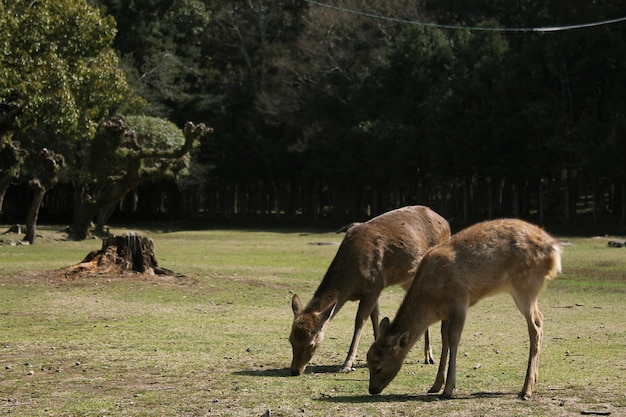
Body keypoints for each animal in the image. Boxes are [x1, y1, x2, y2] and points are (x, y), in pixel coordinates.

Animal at [288, 206, 448, 376]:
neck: (350, 283)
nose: (295, 370)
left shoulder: (374, 285)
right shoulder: (375, 289)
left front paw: (347, 364)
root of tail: (446, 222)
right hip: (407, 279)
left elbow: (360, 320)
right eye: (290, 339)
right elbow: (375, 316)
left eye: (311, 344)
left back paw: (430, 357)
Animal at [366, 216, 560, 398]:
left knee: (535, 325)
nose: (372, 389)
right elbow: (444, 338)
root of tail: (554, 250)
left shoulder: (459, 302)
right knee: (540, 319)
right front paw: (436, 385)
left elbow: (453, 339)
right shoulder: (445, 312)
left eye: (379, 367)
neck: (432, 300)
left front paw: (448, 389)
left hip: (525, 285)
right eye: (368, 361)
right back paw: (532, 383)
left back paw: (526, 390)